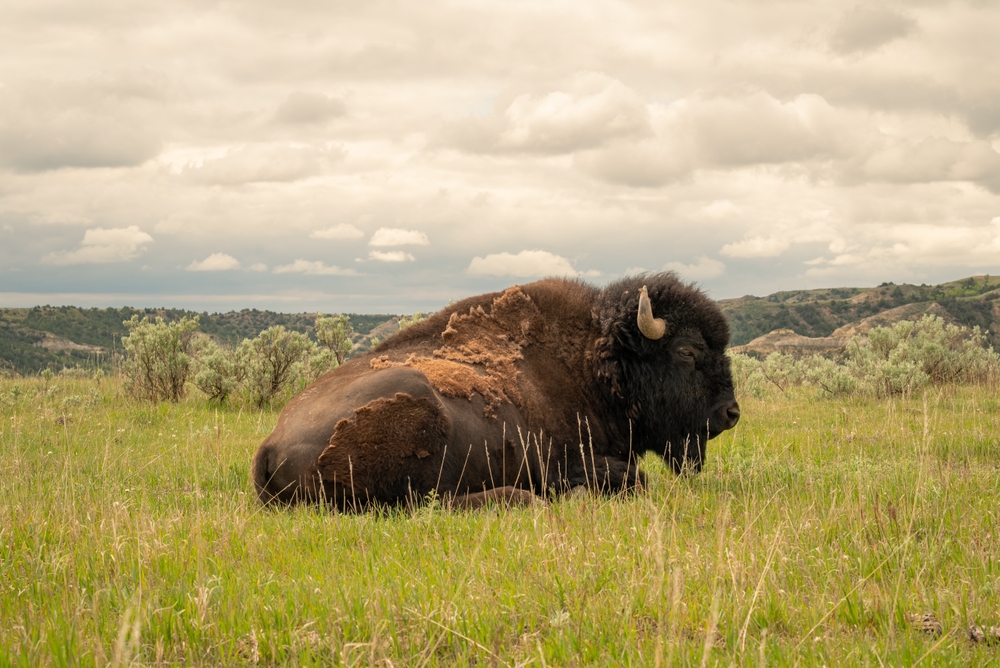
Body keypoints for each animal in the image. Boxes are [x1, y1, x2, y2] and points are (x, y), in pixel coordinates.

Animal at [251, 273, 740, 510]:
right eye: (688, 351)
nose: (730, 413)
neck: (592, 361)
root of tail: (269, 444)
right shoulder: (562, 462)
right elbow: (634, 478)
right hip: (417, 407)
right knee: (427, 504)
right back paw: (523, 499)